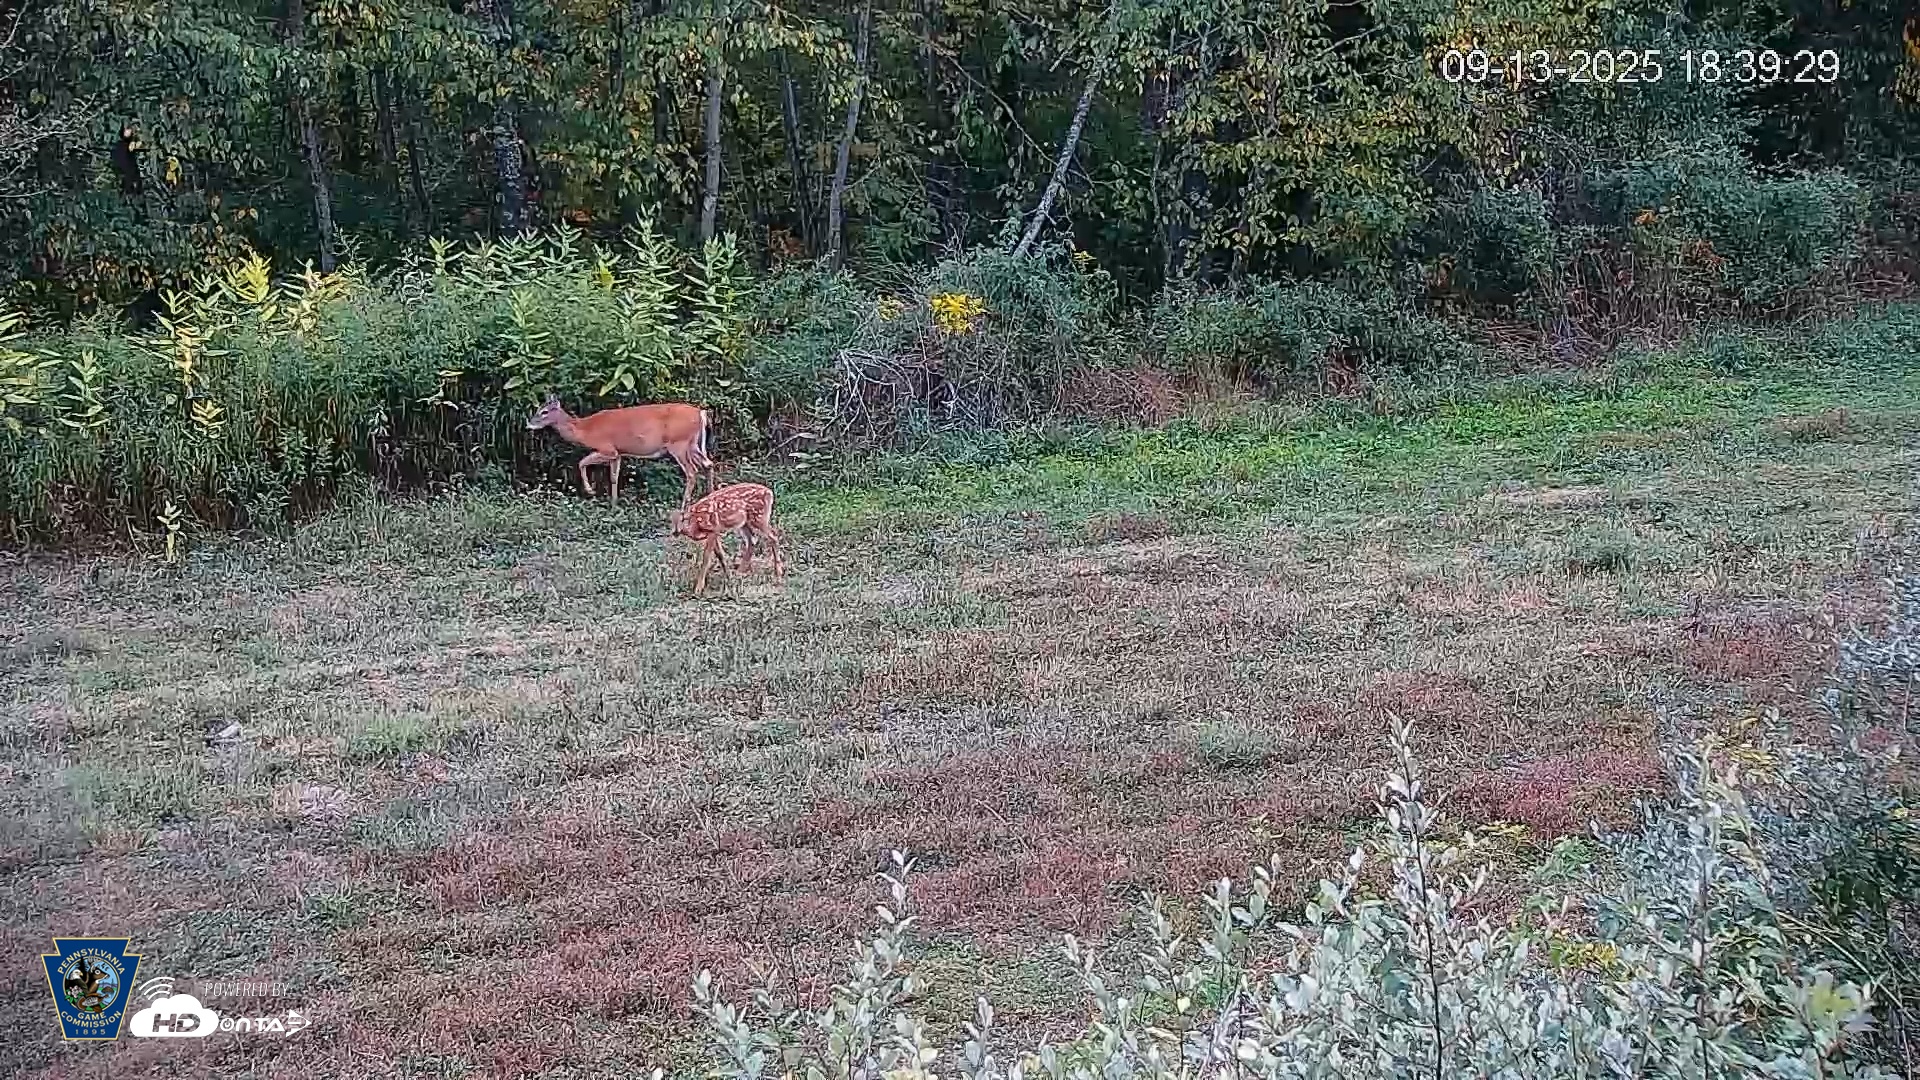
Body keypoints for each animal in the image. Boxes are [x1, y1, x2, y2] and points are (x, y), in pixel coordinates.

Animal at [525, 396, 715, 507]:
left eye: (544, 411)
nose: (529, 424)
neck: (585, 429)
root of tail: (701, 413)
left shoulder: (608, 449)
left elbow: (582, 462)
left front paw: (591, 491)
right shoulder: (618, 453)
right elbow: (613, 477)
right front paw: (614, 504)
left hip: (679, 443)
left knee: (692, 472)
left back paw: (684, 505)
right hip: (693, 444)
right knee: (708, 464)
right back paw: (710, 496)